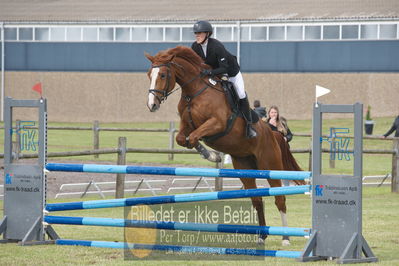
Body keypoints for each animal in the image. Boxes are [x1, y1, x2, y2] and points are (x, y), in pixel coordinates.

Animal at [145, 45, 304, 245]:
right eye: (149, 74)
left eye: (163, 75)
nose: (152, 105)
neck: (194, 91)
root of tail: (274, 133)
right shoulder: (186, 125)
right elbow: (183, 139)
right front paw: (210, 154)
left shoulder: (217, 124)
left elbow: (194, 137)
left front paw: (212, 155)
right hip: (245, 167)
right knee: (257, 199)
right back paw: (261, 236)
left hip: (270, 165)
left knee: (280, 199)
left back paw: (285, 238)